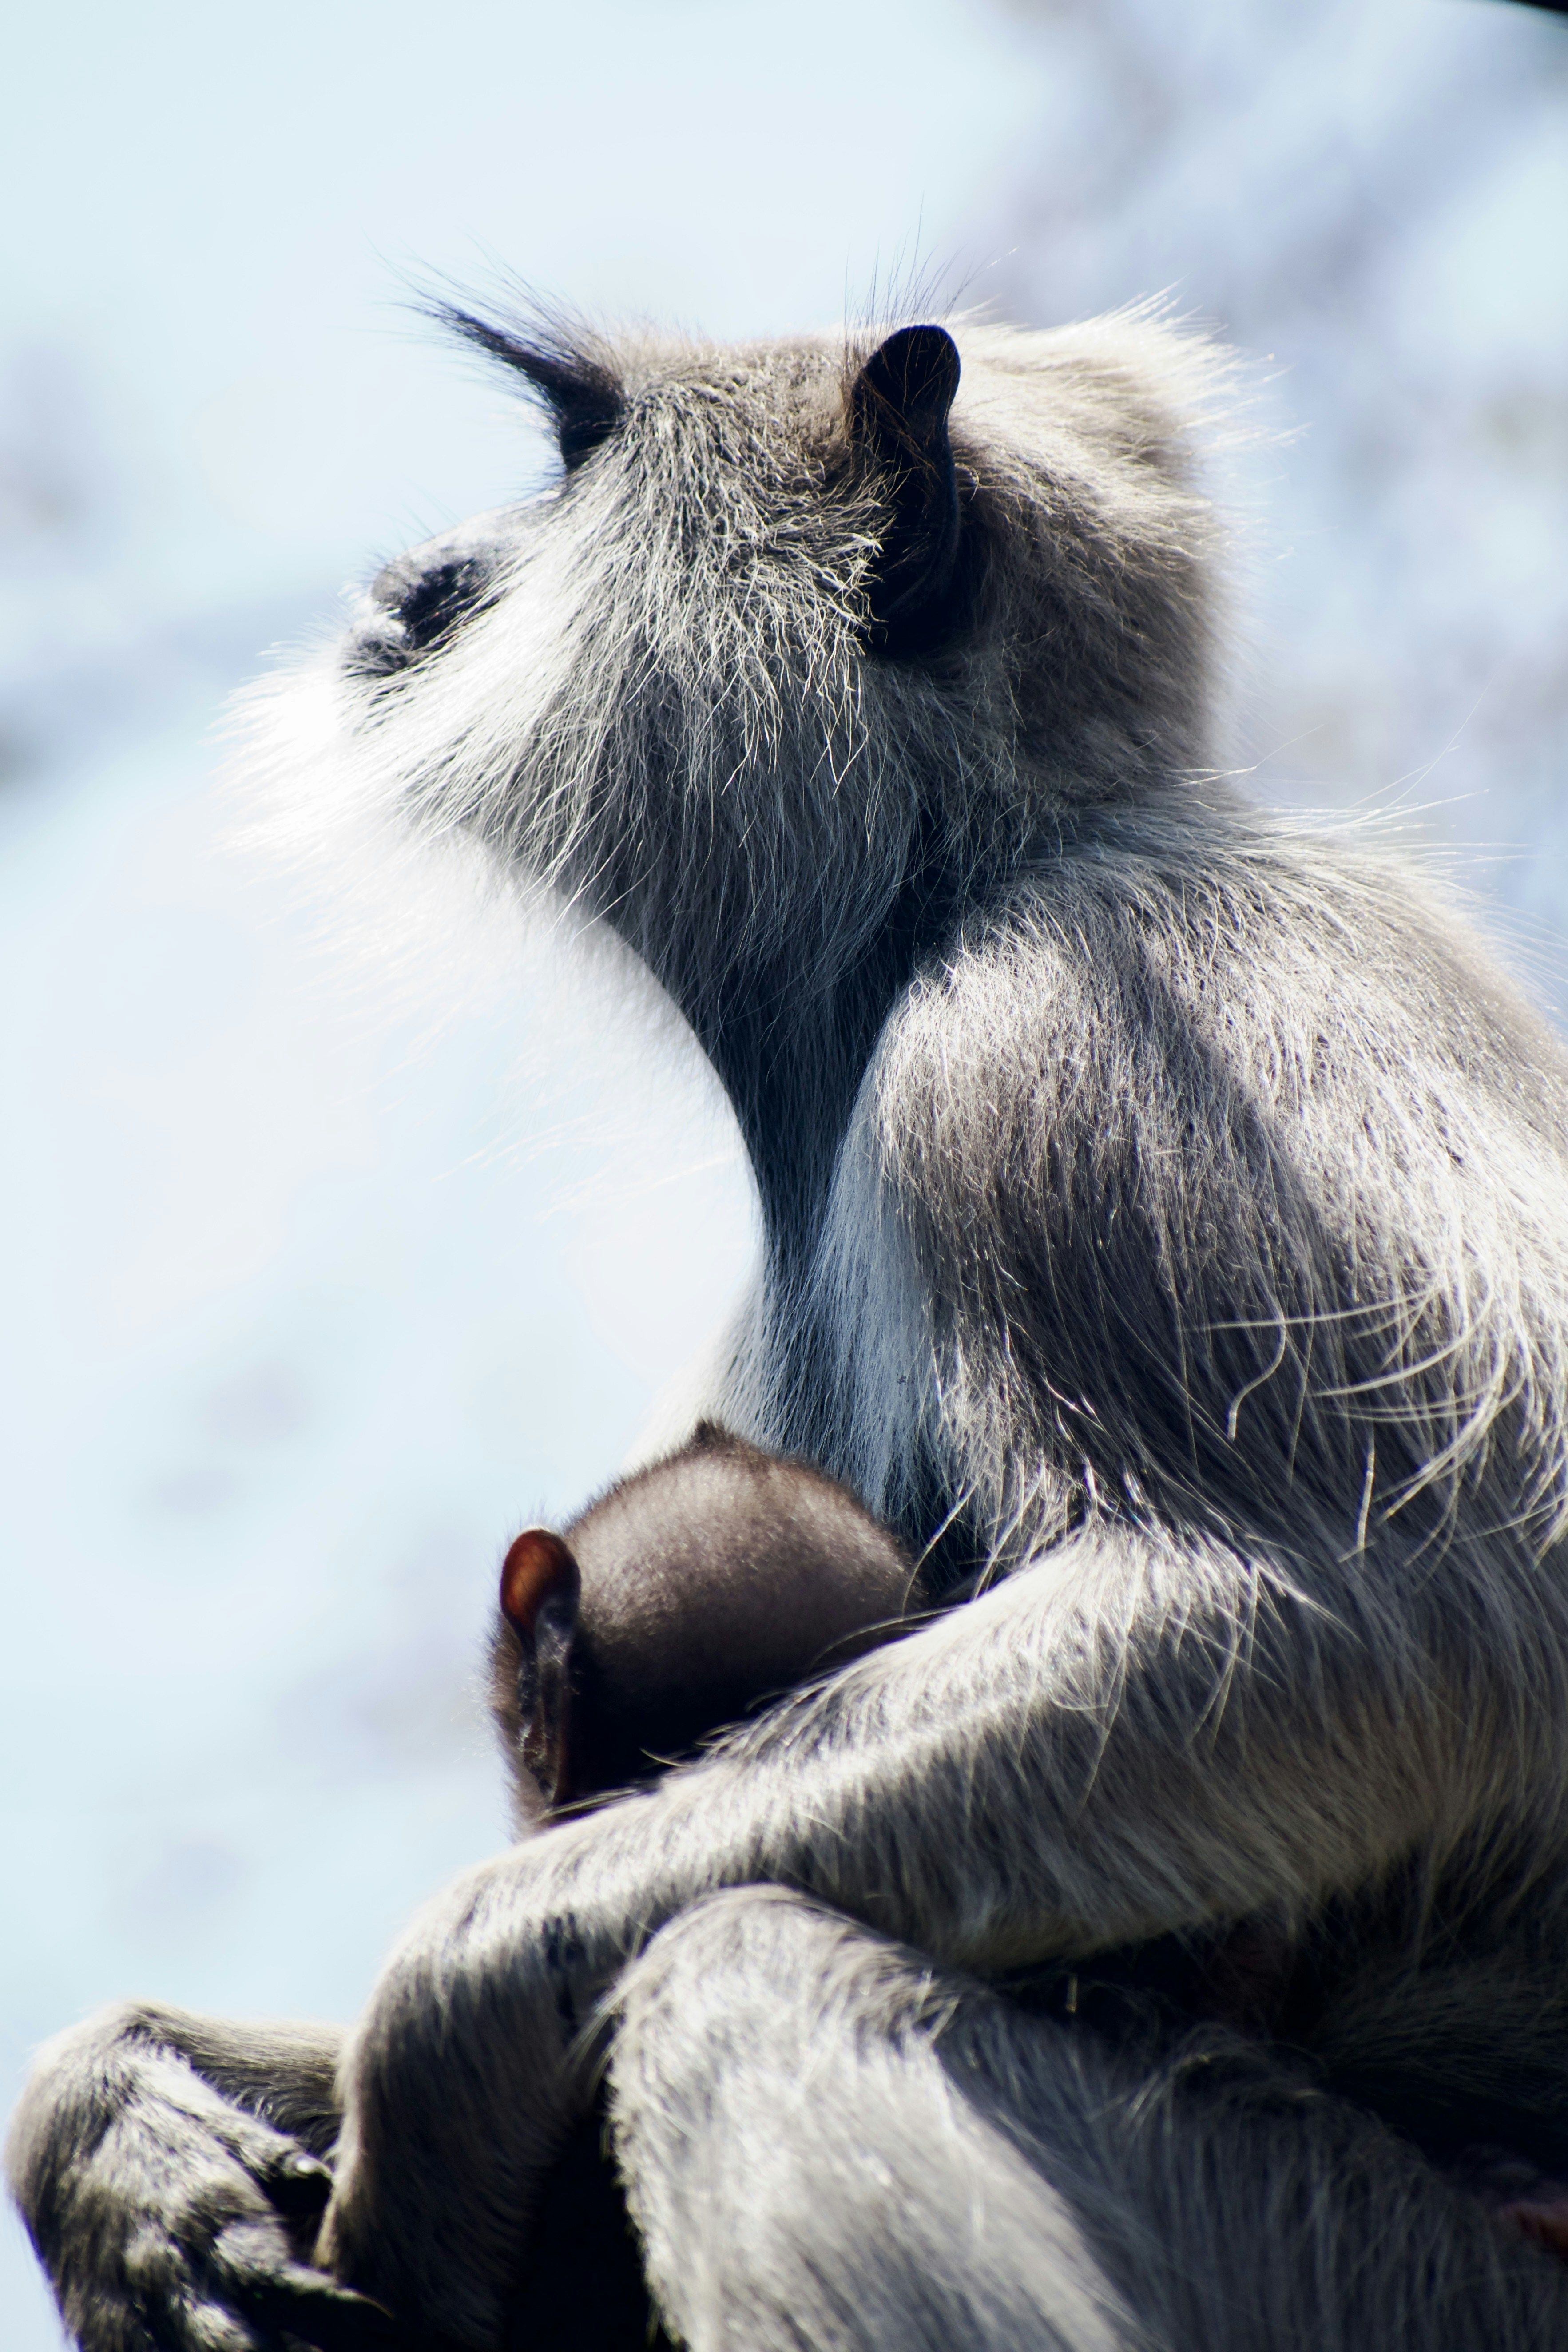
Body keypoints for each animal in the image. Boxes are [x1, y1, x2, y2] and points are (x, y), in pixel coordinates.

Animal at [16, 300, 1568, 2350]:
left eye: (569, 464)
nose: (423, 580)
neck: (955, 888)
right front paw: (116, 2125)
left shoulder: (1065, 1019)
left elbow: (1394, 1617)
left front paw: (440, 2020)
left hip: (1379, 2268)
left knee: (743, 1973)